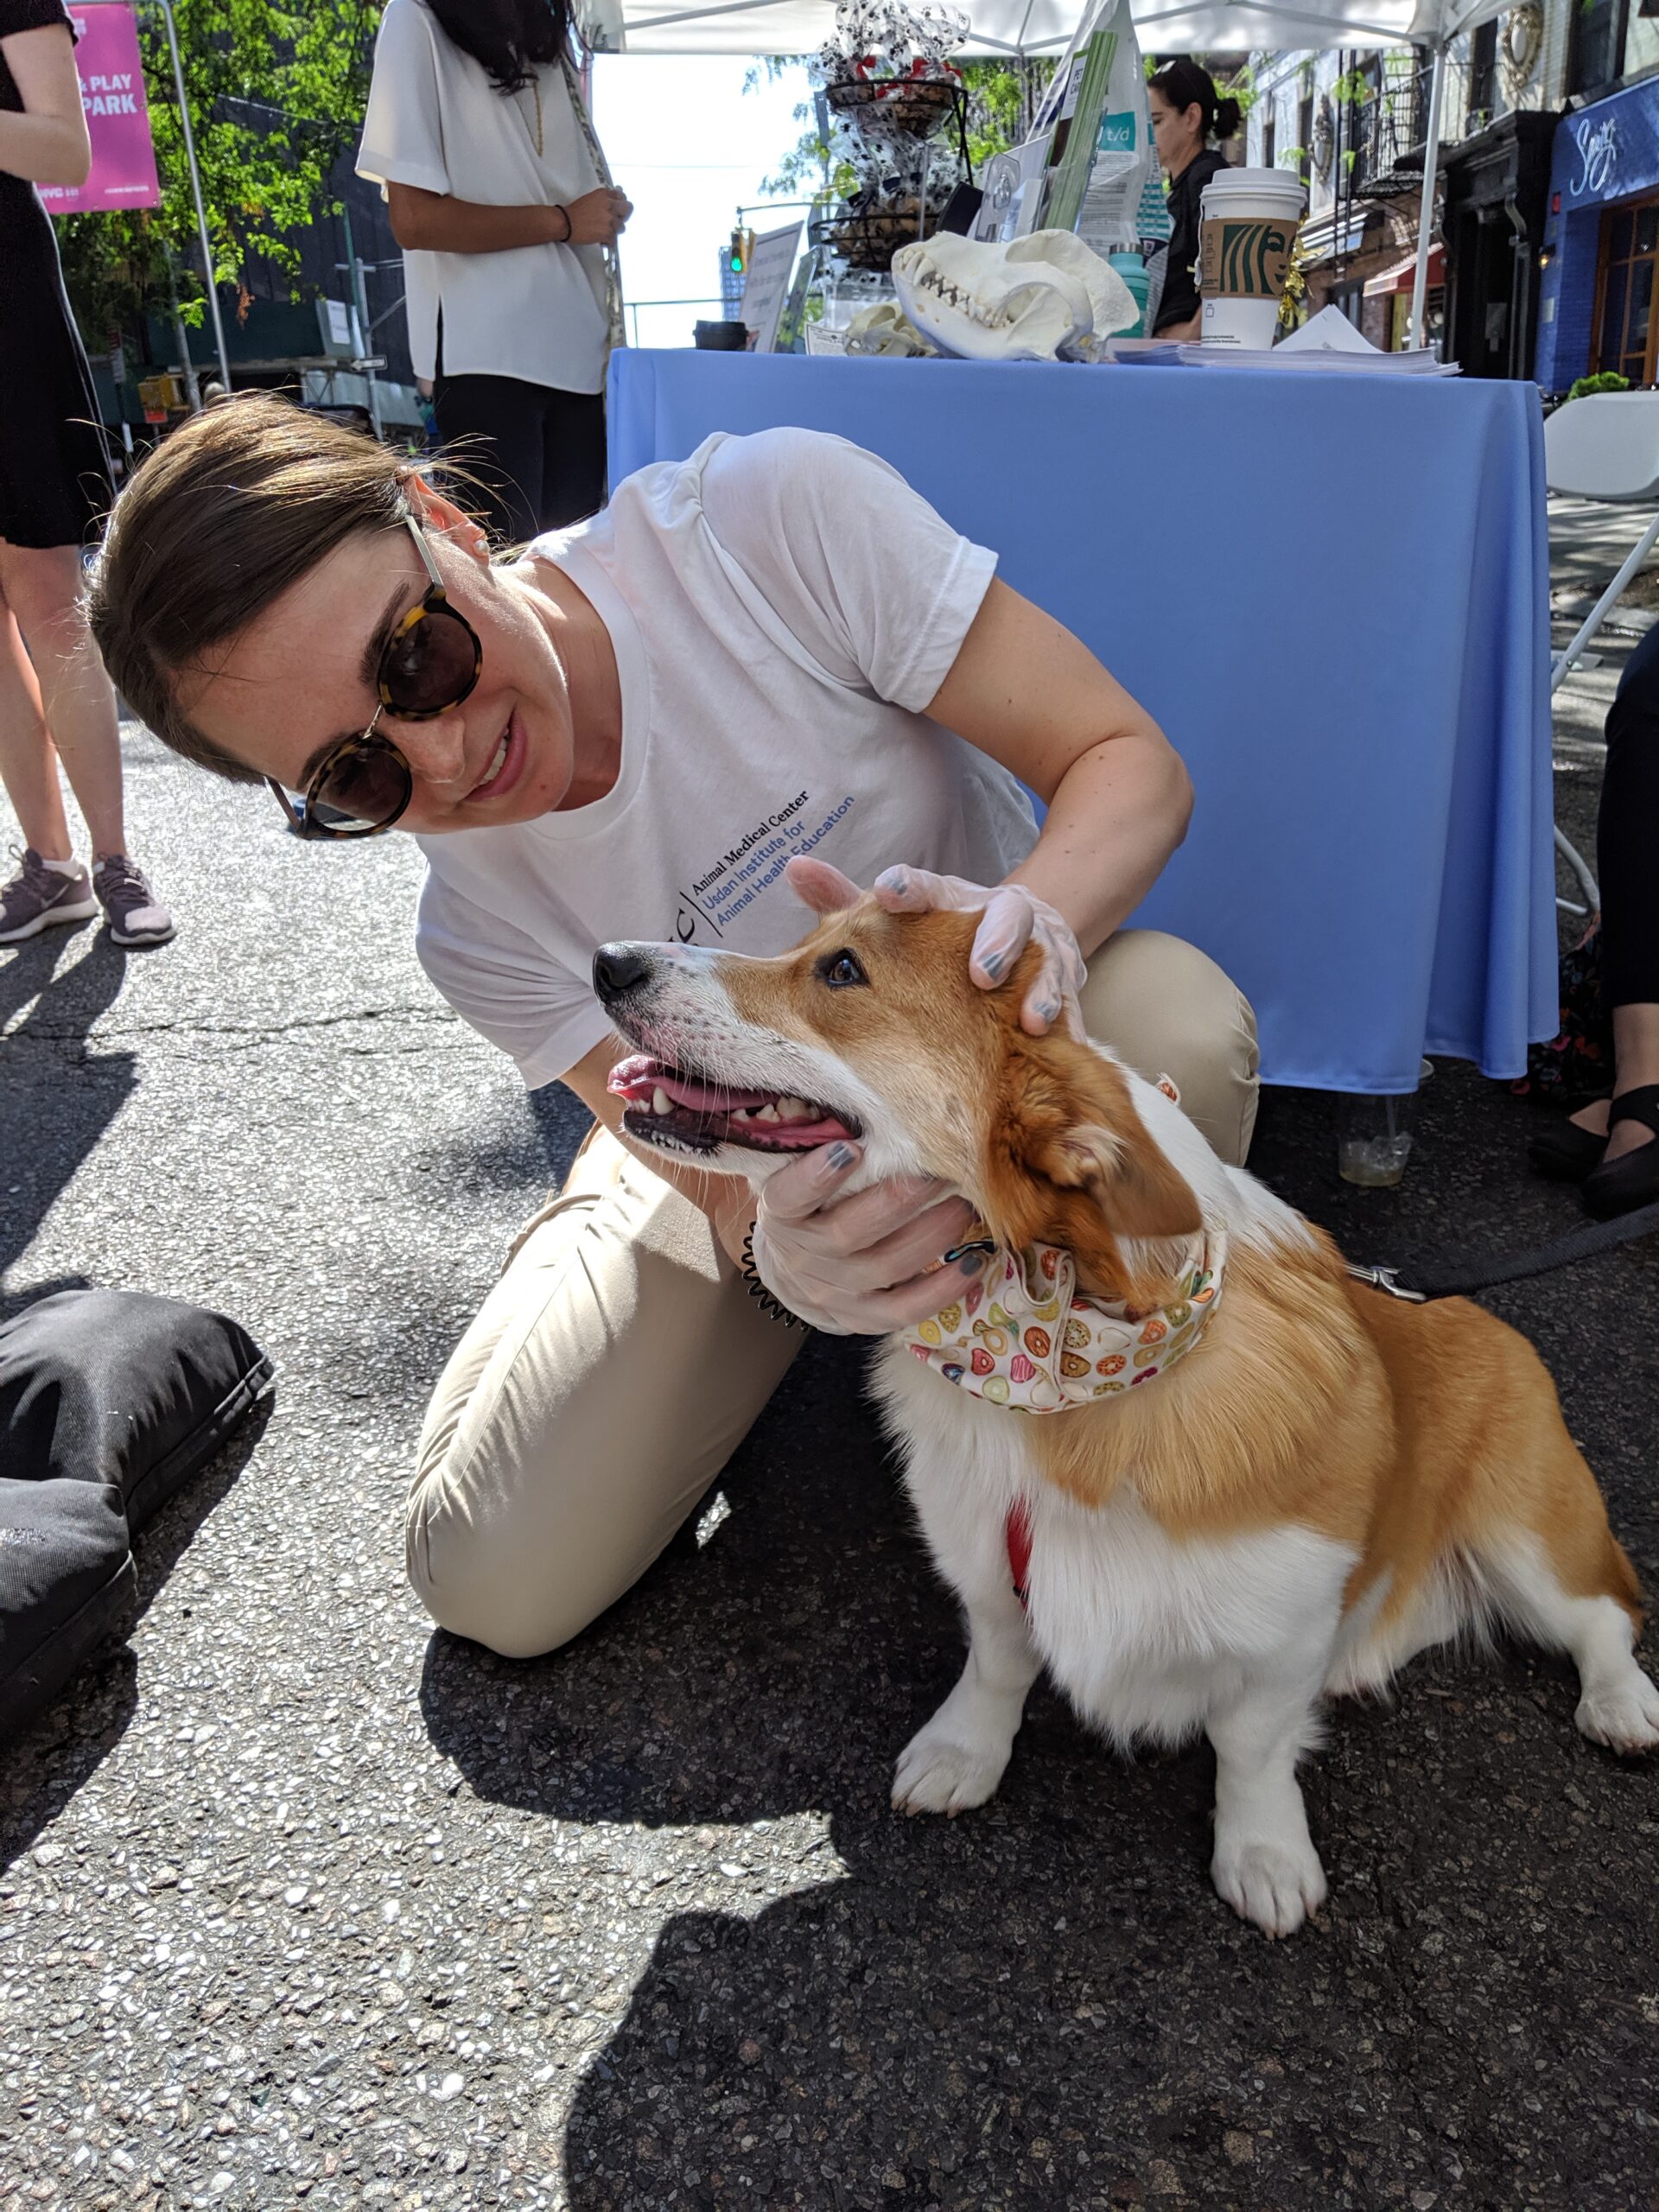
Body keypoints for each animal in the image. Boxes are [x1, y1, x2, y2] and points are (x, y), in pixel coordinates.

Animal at [597, 889, 1659, 1929]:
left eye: (843, 970)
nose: (608, 962)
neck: (1054, 1356)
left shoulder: (1284, 1633)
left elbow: (1252, 1746)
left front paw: (1264, 1857)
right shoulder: (987, 1562)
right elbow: (996, 1665)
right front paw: (962, 1753)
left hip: (1533, 1532)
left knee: (1606, 1612)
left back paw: (1623, 1707)